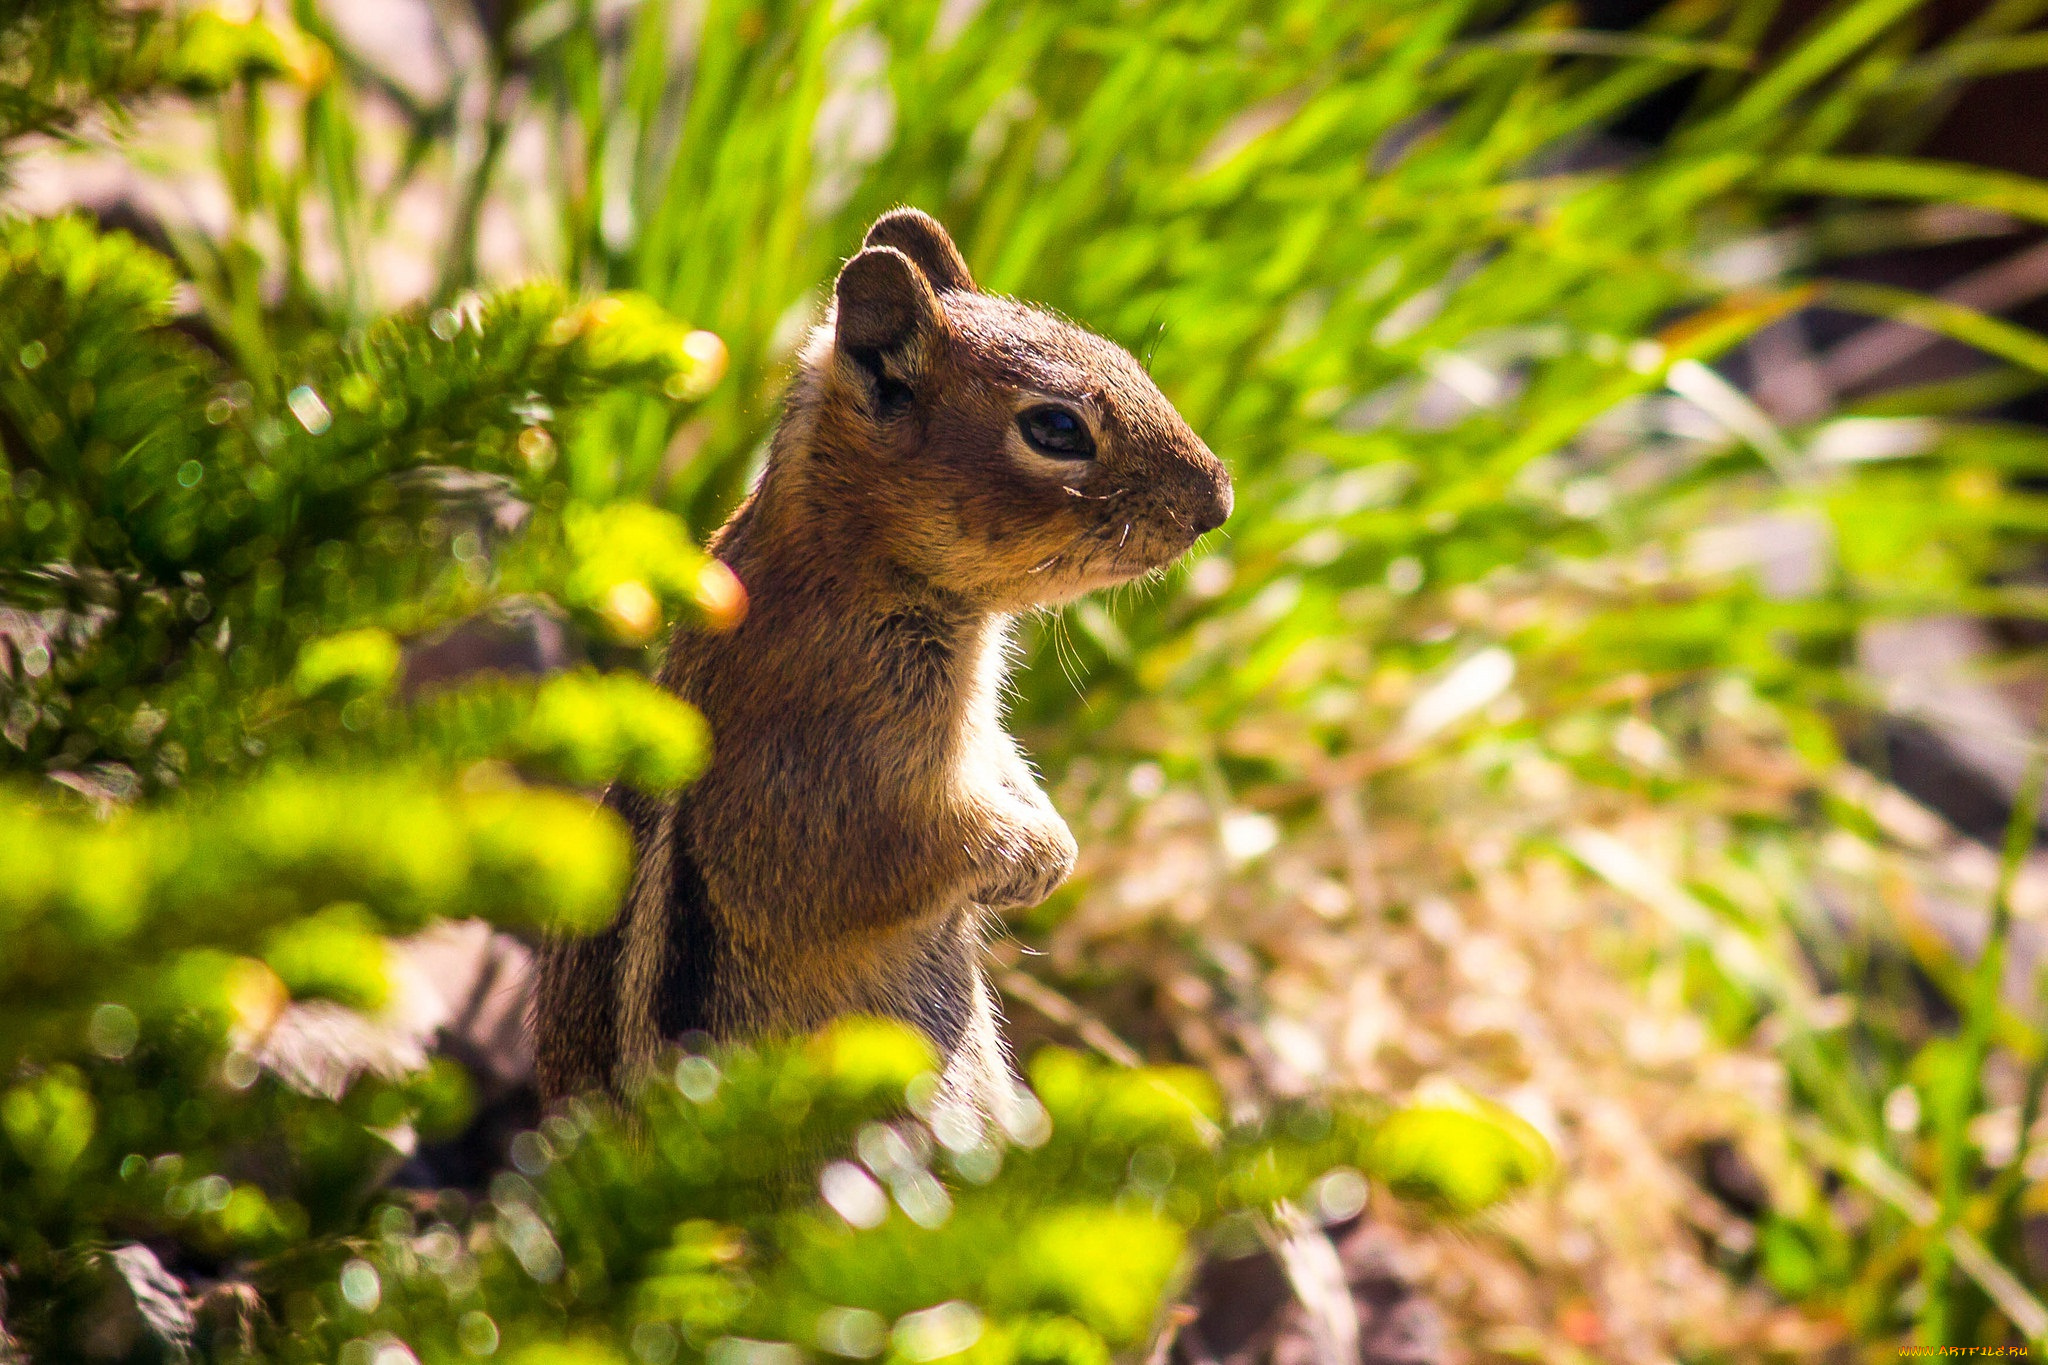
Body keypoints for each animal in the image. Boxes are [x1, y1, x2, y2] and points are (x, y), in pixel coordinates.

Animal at [532, 209, 1231, 1123]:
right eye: (1056, 429)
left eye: (1120, 354)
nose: (1219, 501)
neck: (850, 556)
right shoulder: (841, 767)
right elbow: (892, 853)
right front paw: (1039, 859)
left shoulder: (977, 733)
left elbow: (1004, 765)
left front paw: (1055, 836)